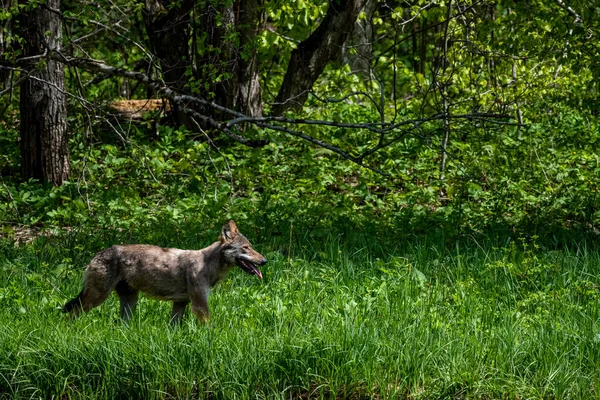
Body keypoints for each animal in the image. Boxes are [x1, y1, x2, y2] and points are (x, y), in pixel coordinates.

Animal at [62, 220, 264, 324]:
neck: (208, 265)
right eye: (246, 248)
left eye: (251, 247)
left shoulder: (180, 303)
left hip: (129, 302)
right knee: (72, 314)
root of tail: (97, 254)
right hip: (97, 298)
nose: (264, 261)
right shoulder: (199, 304)